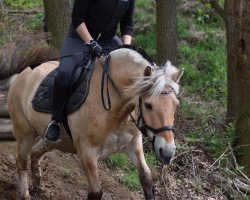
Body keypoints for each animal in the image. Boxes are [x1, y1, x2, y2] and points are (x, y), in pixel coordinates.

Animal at [7, 47, 184, 200]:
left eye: (176, 105)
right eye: (148, 105)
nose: (167, 153)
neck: (117, 110)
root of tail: (21, 75)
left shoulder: (133, 144)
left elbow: (146, 178)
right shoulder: (87, 152)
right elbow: (96, 192)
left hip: (54, 141)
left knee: (35, 153)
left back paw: (40, 187)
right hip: (25, 132)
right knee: (21, 161)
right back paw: (26, 195)